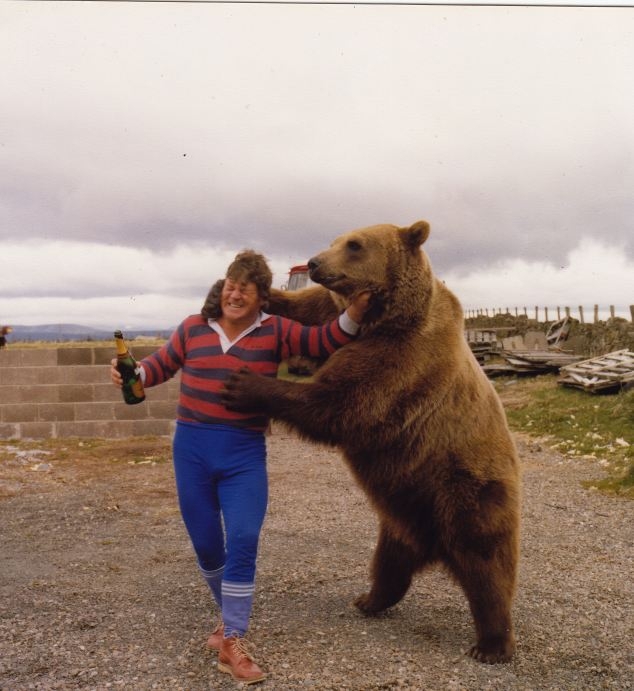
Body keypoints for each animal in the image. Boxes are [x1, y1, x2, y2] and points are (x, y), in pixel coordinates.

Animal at [221, 222, 520, 664]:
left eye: (355, 245)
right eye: (335, 240)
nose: (314, 262)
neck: (386, 317)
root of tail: (433, 546)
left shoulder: (401, 360)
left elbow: (337, 403)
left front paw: (244, 385)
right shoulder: (345, 322)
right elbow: (312, 314)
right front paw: (262, 290)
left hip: (467, 488)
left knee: (487, 565)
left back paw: (492, 644)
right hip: (402, 510)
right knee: (390, 561)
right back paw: (369, 599)